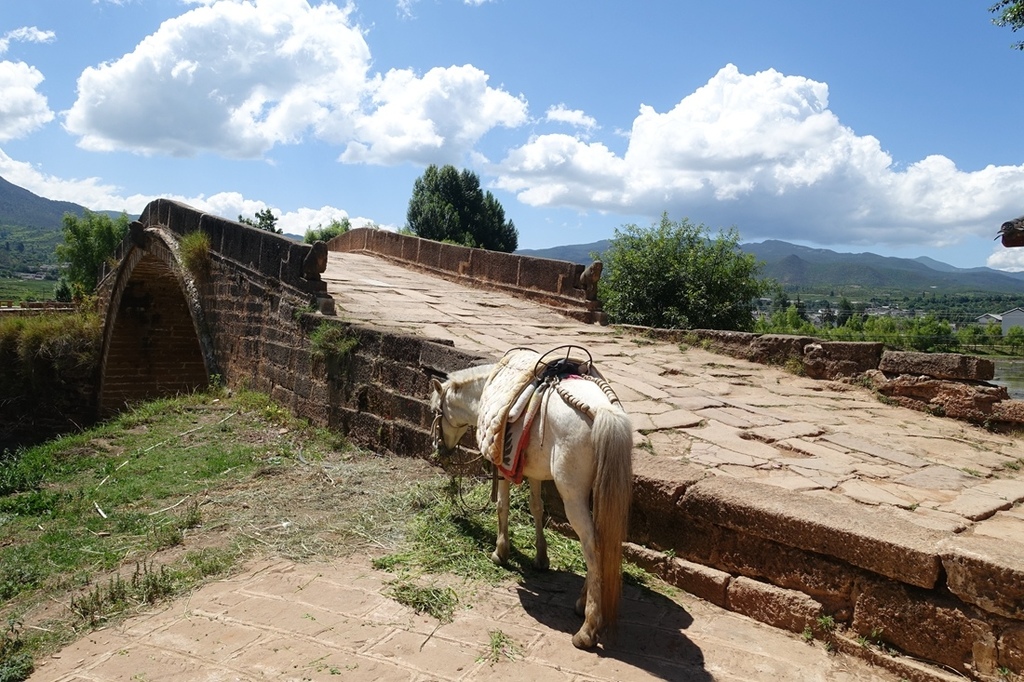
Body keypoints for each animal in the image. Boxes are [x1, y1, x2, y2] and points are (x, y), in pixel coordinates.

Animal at [425, 350, 630, 647]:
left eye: (435, 412)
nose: (438, 448)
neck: (485, 392)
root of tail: (604, 412)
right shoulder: (533, 470)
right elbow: (537, 508)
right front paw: (541, 559)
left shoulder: (503, 466)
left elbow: (502, 506)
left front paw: (500, 552)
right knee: (600, 540)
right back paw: (582, 602)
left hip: (573, 496)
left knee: (592, 545)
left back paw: (587, 629)